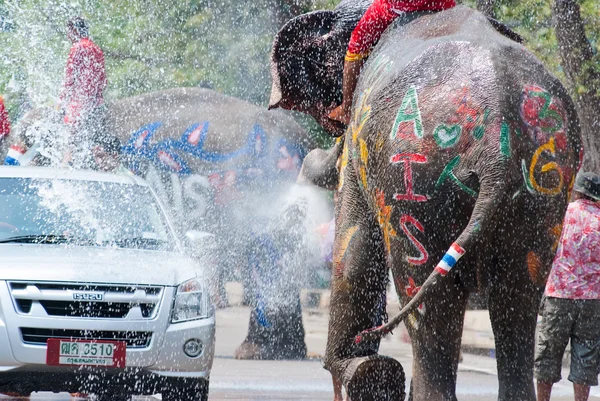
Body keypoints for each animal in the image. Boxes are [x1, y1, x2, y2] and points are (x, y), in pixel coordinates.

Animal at [270, 3, 584, 400]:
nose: (303, 169)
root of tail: (497, 144)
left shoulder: (361, 146)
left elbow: (354, 246)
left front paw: (356, 369)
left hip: (414, 182)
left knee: (423, 293)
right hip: (544, 195)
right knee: (518, 297)